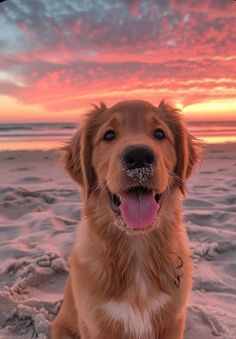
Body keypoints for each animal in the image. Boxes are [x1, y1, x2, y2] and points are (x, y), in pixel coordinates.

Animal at [51, 100, 201, 339]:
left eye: (159, 134)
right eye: (109, 135)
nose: (139, 156)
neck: (136, 246)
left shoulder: (173, 321)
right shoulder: (95, 325)